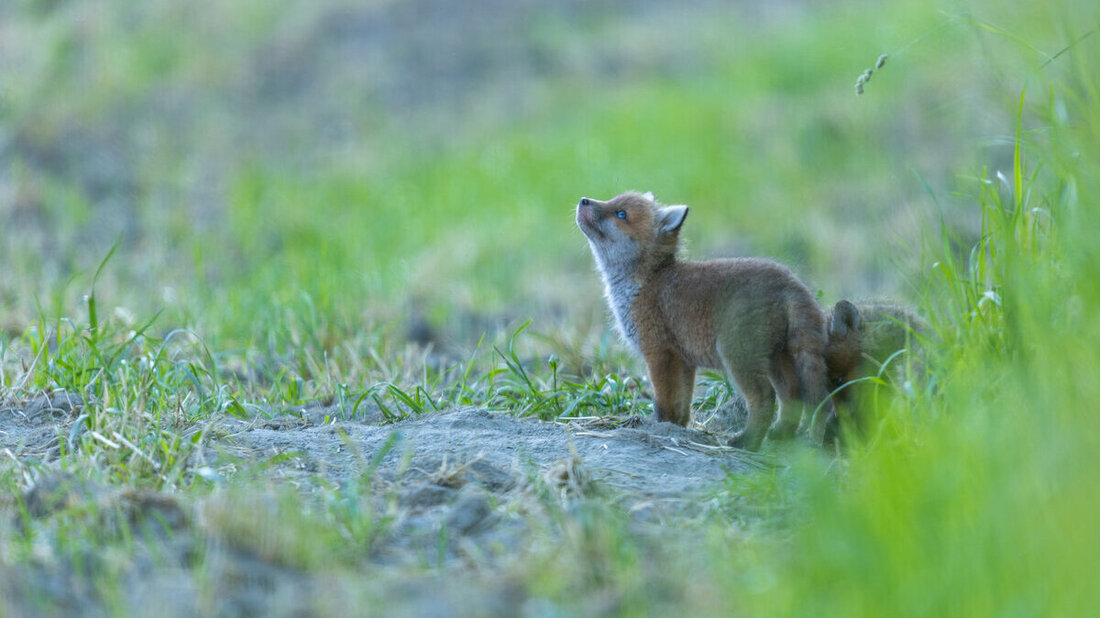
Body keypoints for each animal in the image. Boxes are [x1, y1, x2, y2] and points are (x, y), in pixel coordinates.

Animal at [576, 191, 835, 451]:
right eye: (612, 200)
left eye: (621, 213)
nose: (583, 200)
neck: (645, 282)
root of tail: (791, 281)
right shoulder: (683, 361)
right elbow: (681, 404)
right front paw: (676, 428)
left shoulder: (659, 353)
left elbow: (663, 401)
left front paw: (659, 427)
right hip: (777, 359)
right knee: (793, 396)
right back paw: (781, 435)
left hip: (738, 356)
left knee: (765, 399)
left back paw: (747, 441)